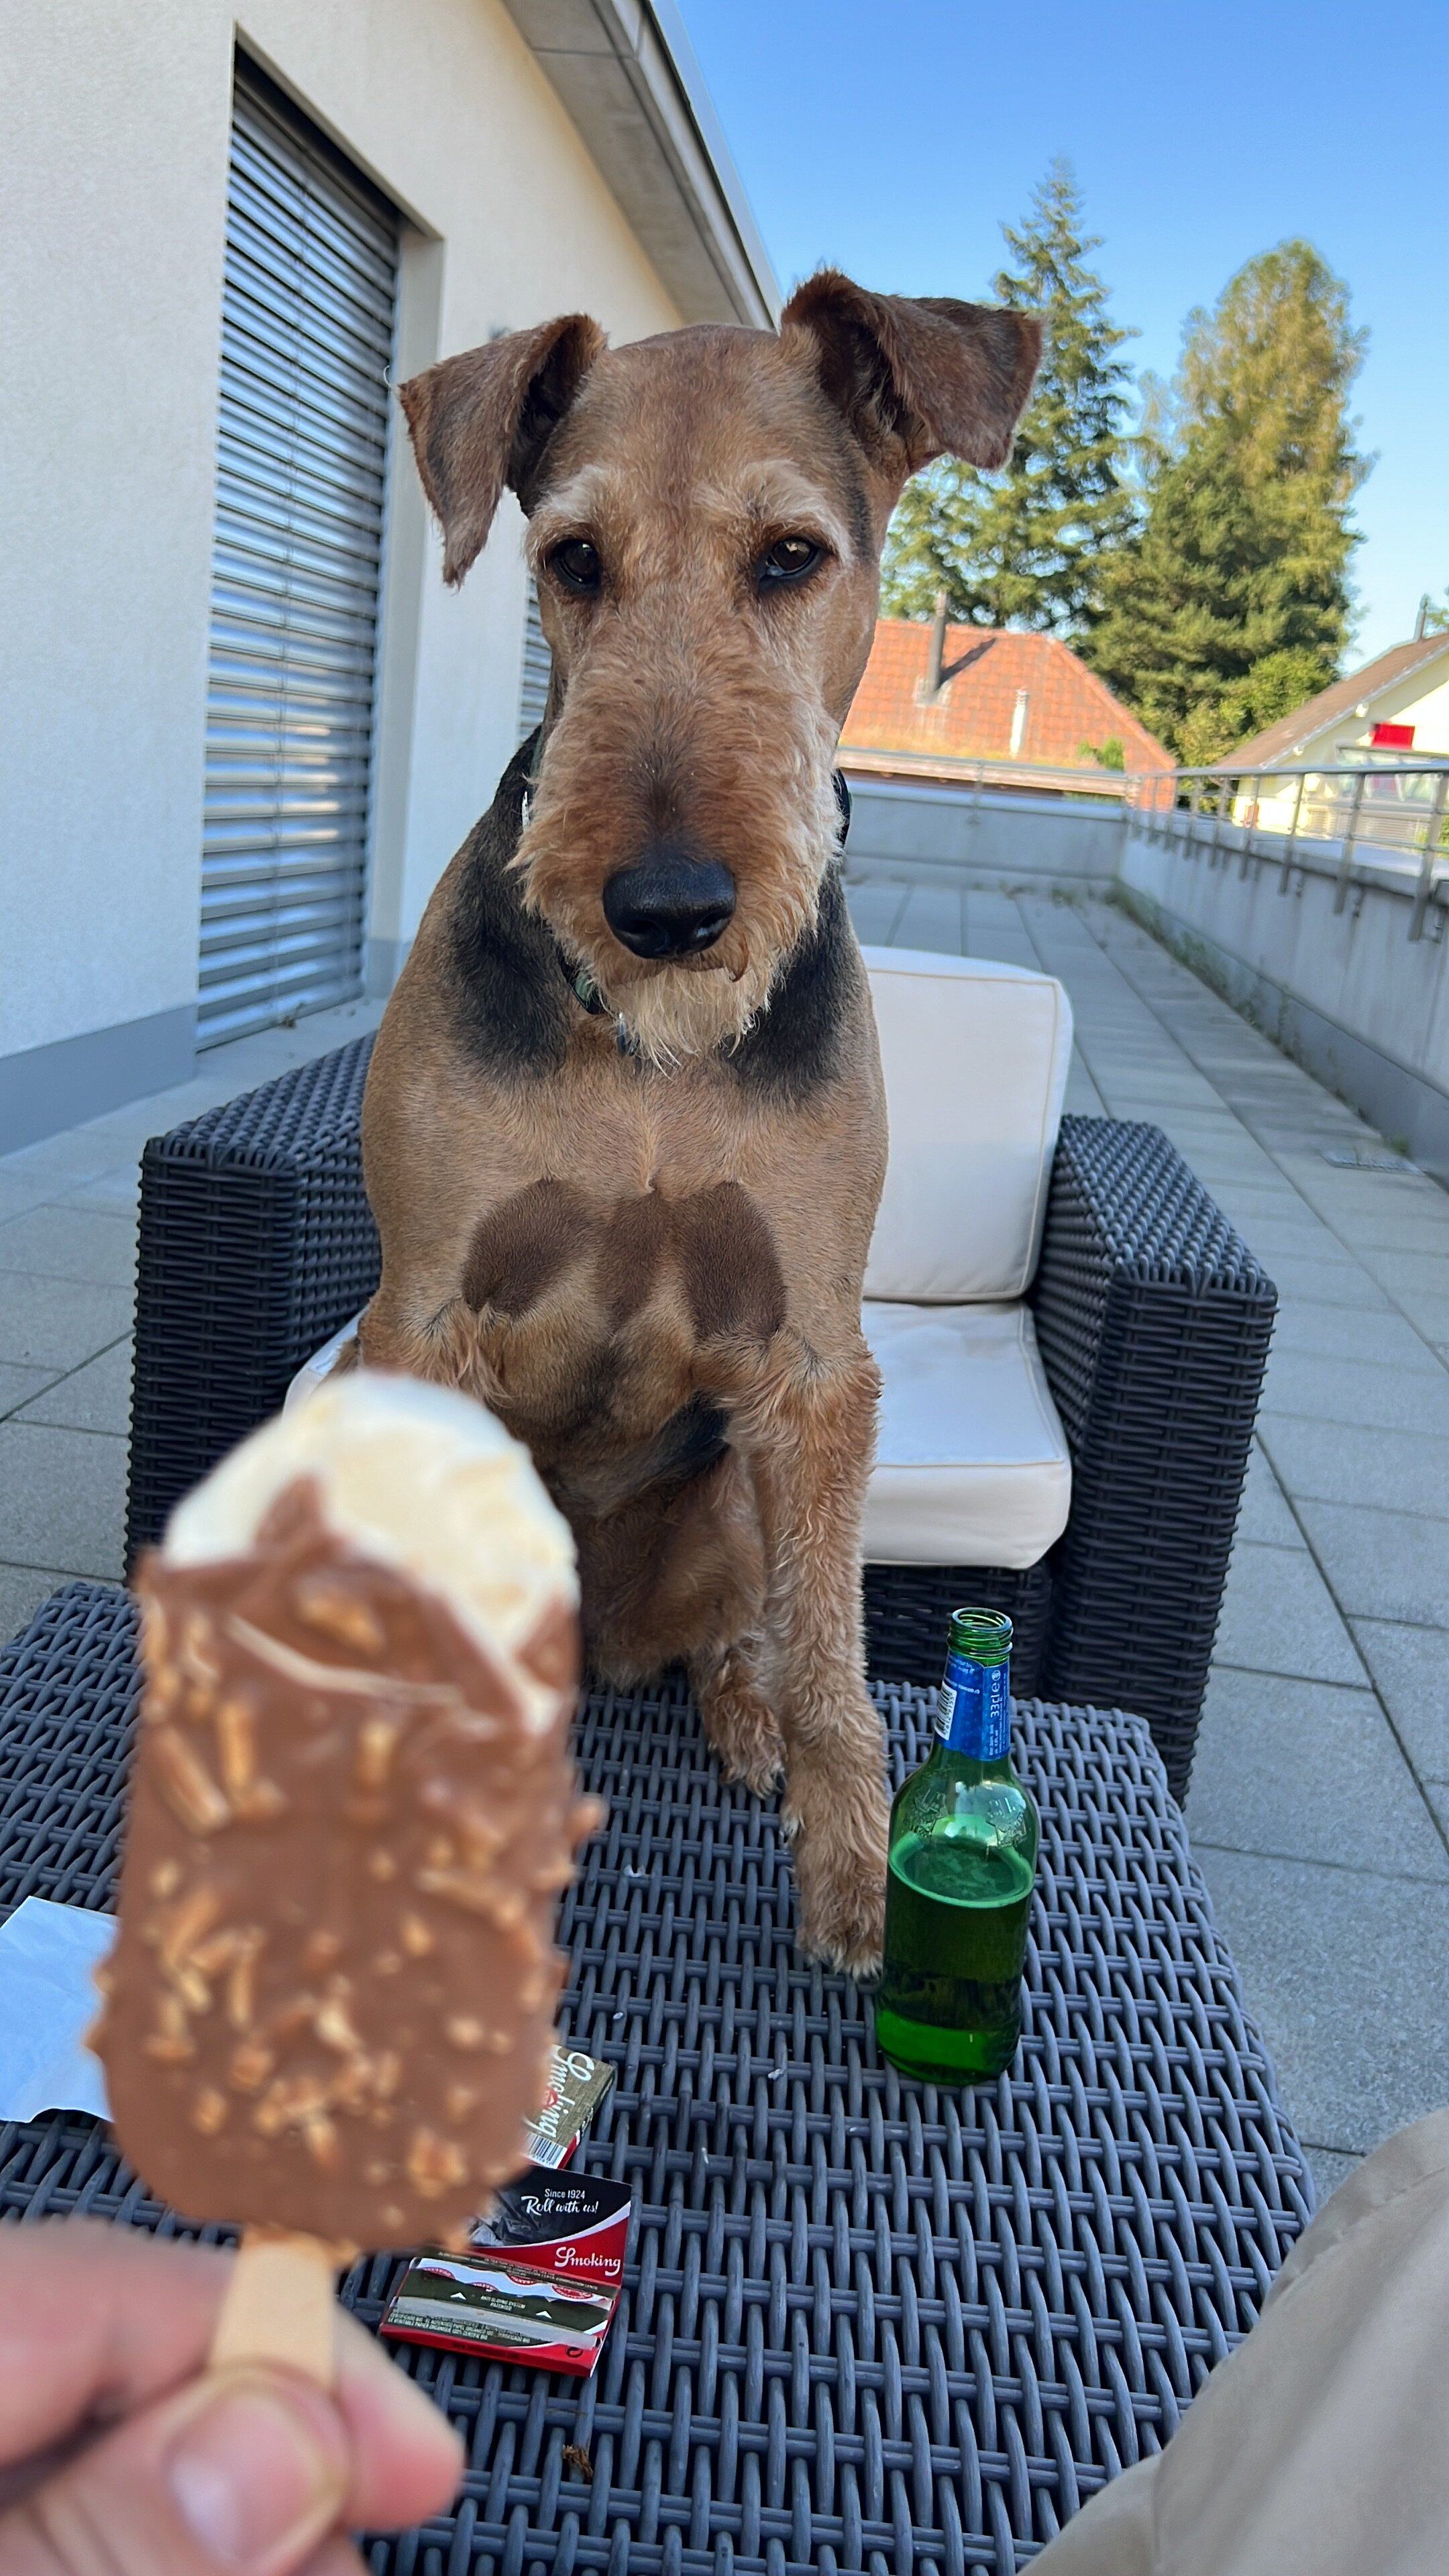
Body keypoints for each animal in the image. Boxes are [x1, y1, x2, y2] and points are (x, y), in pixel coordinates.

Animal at [356, 274, 1041, 1972]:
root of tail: (605, 1628)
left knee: (754, 1635)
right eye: (572, 561)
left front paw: (862, 1879)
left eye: (790, 554)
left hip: (734, 1487)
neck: (651, 1059)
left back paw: (746, 1726)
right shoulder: (423, 1311)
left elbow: (838, 1664)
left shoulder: (814, 1359)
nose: (664, 910)